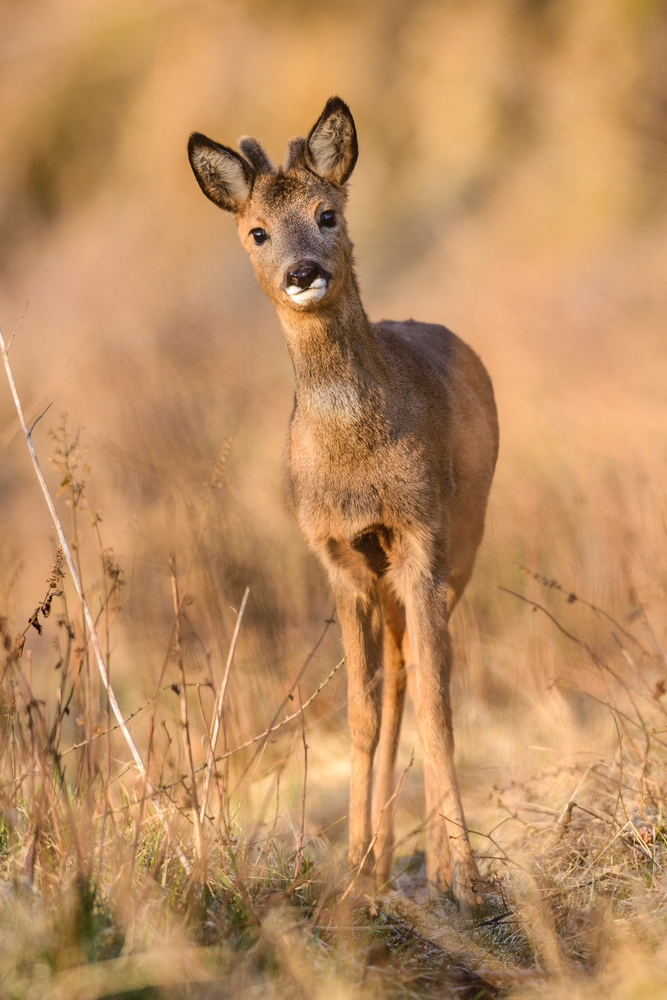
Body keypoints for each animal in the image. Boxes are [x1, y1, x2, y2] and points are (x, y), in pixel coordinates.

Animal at [190, 97, 498, 912]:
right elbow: (360, 710)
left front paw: (467, 881)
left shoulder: (421, 535)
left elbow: (437, 706)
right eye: (257, 232)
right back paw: (378, 863)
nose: (304, 272)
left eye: (327, 213)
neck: (355, 458)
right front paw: (357, 873)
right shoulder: (337, 555)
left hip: (466, 539)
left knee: (415, 678)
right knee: (390, 681)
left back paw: (432, 868)